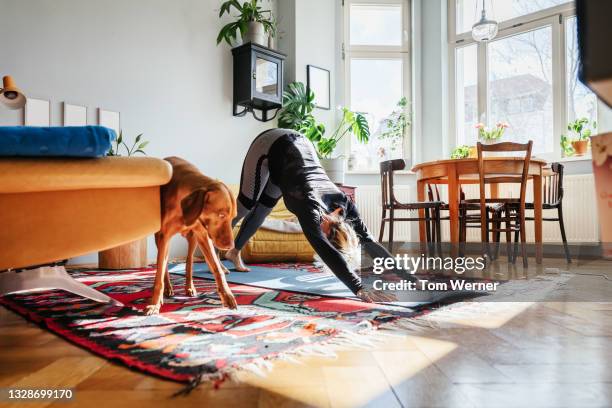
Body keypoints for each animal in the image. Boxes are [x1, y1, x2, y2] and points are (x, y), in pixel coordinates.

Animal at [145, 157, 238, 316]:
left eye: (233, 216)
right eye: (221, 215)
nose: (231, 246)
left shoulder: (203, 236)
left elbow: (217, 269)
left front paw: (227, 295)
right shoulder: (164, 237)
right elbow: (160, 273)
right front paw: (155, 304)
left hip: (193, 239)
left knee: (189, 262)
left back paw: (190, 287)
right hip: (160, 238)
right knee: (165, 264)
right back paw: (168, 288)